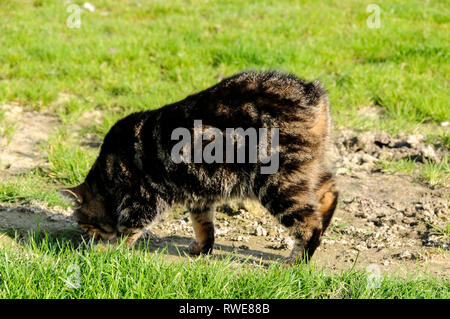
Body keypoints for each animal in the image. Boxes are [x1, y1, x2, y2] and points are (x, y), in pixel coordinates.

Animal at [62, 71, 338, 264]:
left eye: (86, 226)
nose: (87, 238)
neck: (108, 175)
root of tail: (310, 90)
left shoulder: (143, 199)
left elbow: (128, 229)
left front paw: (108, 250)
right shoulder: (199, 195)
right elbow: (204, 227)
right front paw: (202, 249)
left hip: (277, 183)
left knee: (309, 223)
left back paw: (296, 260)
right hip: (307, 172)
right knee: (330, 194)